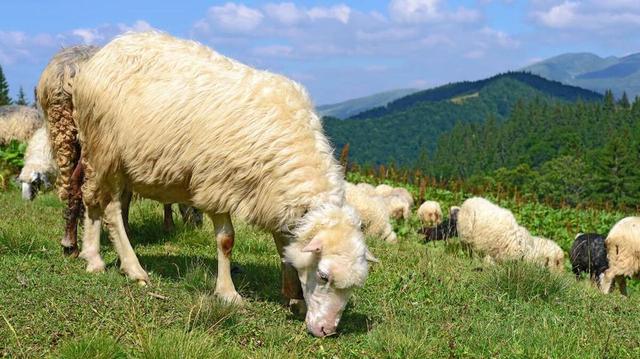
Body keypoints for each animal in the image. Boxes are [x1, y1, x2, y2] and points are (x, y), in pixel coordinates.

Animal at [72, 31, 378, 338]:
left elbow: (285, 248)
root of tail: (107, 50)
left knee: (93, 199)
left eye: (354, 286)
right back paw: (127, 267)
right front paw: (228, 294)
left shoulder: (275, 198)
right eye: (324, 276)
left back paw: (94, 257)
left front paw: (294, 297)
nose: (326, 330)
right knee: (108, 207)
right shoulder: (216, 184)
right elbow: (226, 241)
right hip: (104, 148)